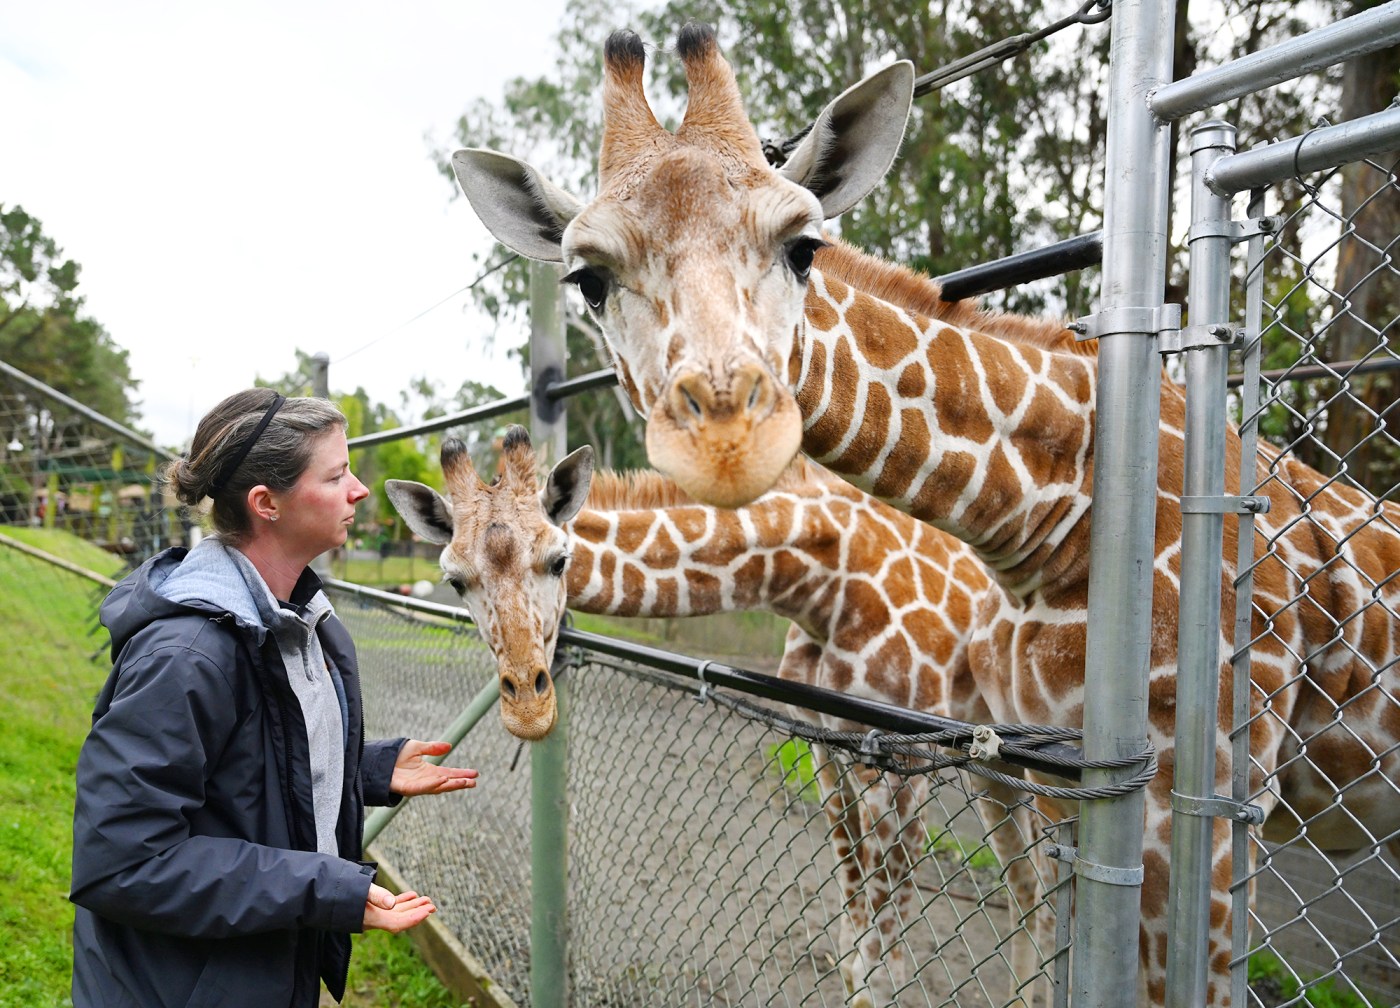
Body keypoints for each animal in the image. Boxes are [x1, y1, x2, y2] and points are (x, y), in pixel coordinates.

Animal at [383, 431, 1052, 1008]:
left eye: (559, 559)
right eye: (454, 579)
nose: (529, 708)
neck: (824, 576)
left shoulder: (904, 757)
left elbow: (876, 963)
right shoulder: (830, 747)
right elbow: (849, 939)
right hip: (992, 769)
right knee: (1029, 889)